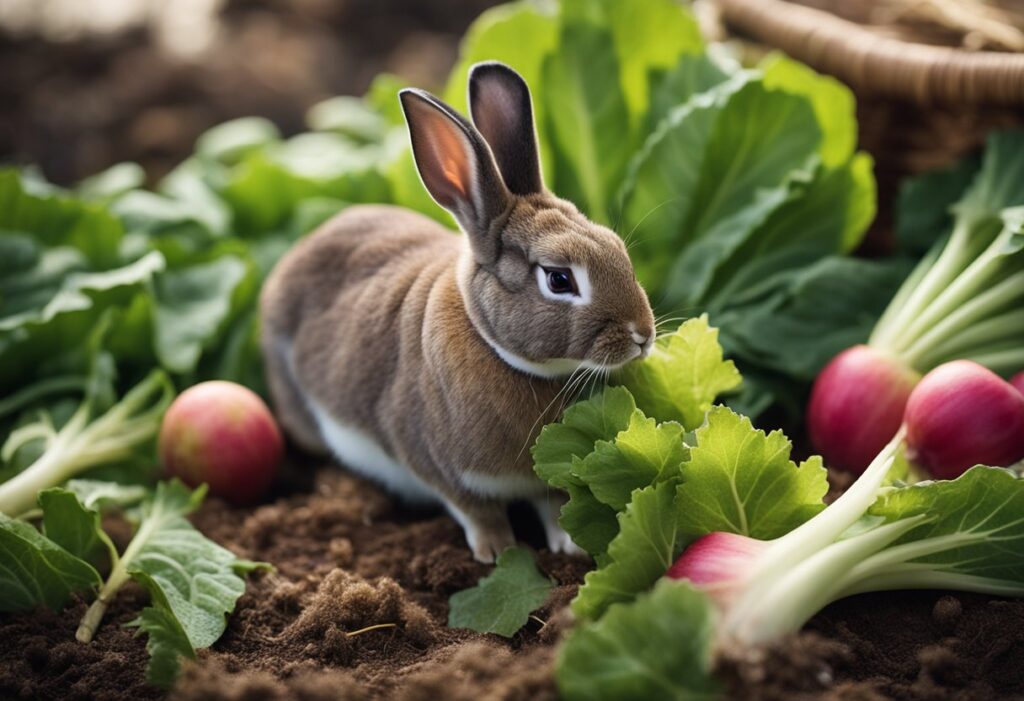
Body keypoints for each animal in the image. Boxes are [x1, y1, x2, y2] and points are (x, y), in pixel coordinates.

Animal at [260, 61, 651, 564]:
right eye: (559, 279)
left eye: (618, 247)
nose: (643, 335)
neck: (496, 347)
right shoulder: (438, 466)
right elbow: (477, 511)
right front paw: (496, 553)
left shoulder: (543, 479)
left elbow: (552, 504)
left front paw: (568, 547)